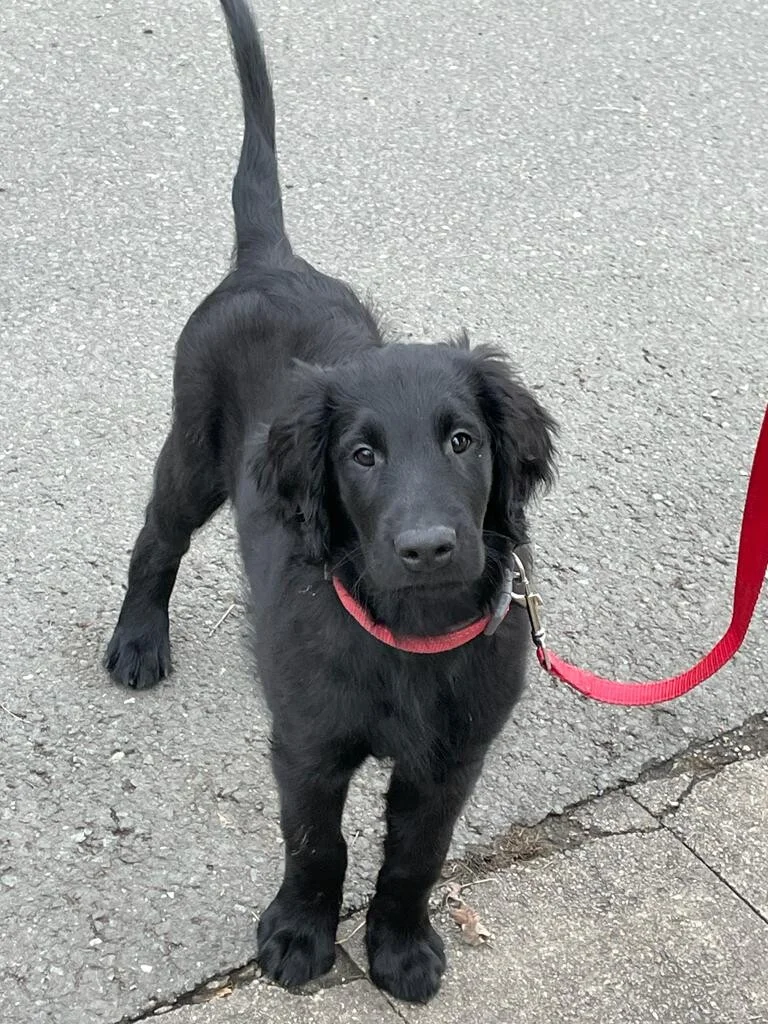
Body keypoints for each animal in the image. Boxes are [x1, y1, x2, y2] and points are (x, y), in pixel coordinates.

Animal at [103, 0, 561, 1003]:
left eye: (463, 442)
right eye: (361, 456)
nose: (428, 547)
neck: (410, 635)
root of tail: (269, 260)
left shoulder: (450, 760)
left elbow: (414, 856)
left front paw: (402, 947)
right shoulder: (307, 742)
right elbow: (318, 846)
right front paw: (300, 938)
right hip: (191, 452)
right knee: (155, 541)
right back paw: (137, 641)